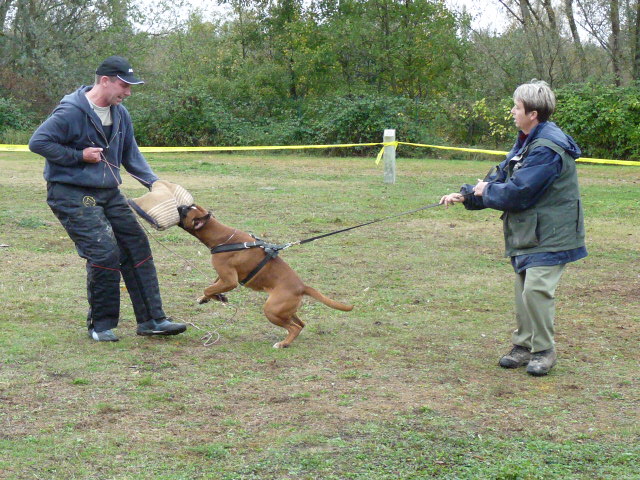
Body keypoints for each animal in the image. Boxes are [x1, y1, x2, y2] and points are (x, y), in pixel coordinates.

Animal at [178, 204, 352, 346]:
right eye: (188, 206)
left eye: (185, 211)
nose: (180, 205)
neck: (222, 237)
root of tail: (302, 287)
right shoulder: (224, 277)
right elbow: (212, 287)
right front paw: (212, 298)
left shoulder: (230, 280)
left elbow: (208, 288)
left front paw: (213, 296)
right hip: (285, 311)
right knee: (300, 324)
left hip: (272, 310)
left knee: (294, 327)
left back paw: (283, 344)